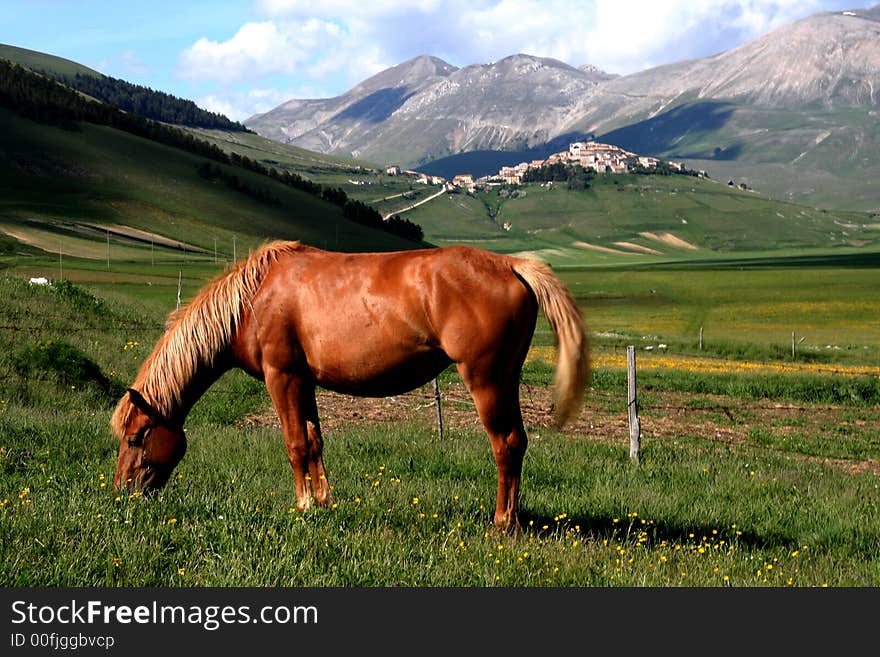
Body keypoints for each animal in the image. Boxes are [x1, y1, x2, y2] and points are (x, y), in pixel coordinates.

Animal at [111, 241, 592, 532]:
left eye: (136, 438)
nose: (121, 493)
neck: (253, 300)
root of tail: (512, 264)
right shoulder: (303, 382)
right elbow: (314, 441)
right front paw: (324, 501)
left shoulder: (282, 377)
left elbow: (294, 444)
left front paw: (303, 505)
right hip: (506, 381)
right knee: (518, 442)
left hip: (486, 381)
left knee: (505, 445)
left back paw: (502, 522)